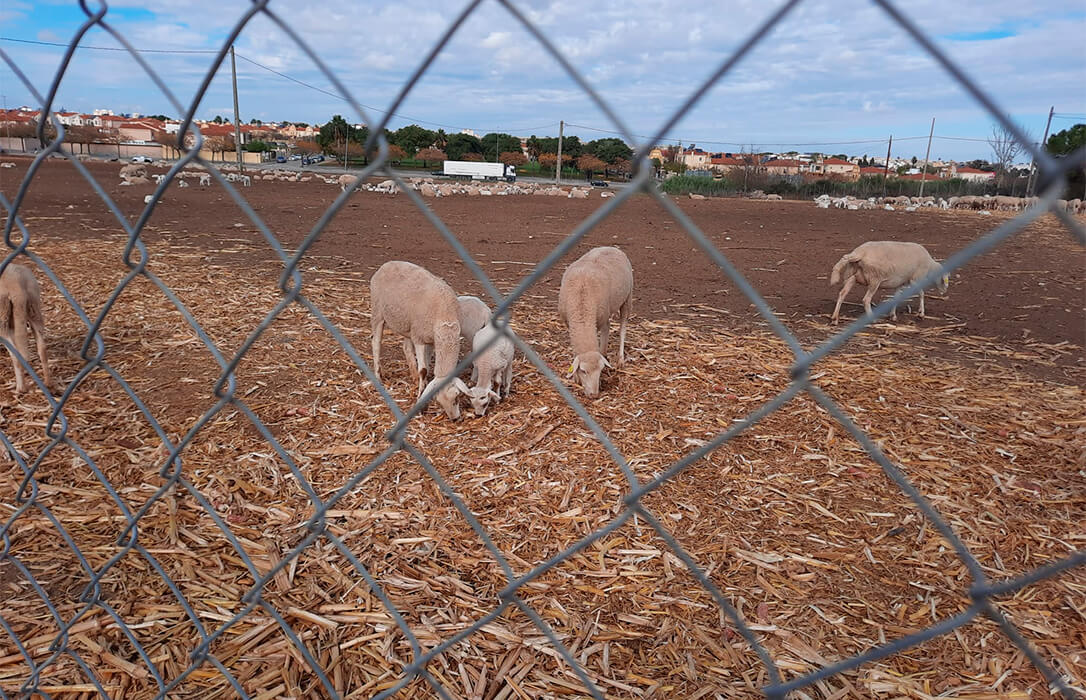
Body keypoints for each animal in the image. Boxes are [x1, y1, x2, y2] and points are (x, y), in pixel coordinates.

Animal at [0, 262, 52, 392]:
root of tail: (17, 288)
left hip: (3, 317)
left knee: (15, 354)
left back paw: (20, 388)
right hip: (34, 309)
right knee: (42, 349)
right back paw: (48, 384)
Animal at [371, 259, 469, 416]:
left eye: (457, 397)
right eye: (438, 401)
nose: (455, 419)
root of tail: (387, 264)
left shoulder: (430, 339)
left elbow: (427, 367)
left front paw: (422, 384)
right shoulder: (420, 339)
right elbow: (423, 370)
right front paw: (421, 395)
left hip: (407, 325)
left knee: (405, 347)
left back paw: (413, 375)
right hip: (377, 312)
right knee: (376, 343)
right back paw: (378, 376)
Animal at [556, 245, 634, 399]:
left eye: (600, 370)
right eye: (583, 371)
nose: (594, 395)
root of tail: (611, 247)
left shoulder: (603, 321)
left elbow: (602, 349)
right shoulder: (569, 324)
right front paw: (575, 377)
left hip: (627, 298)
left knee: (623, 328)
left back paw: (621, 359)